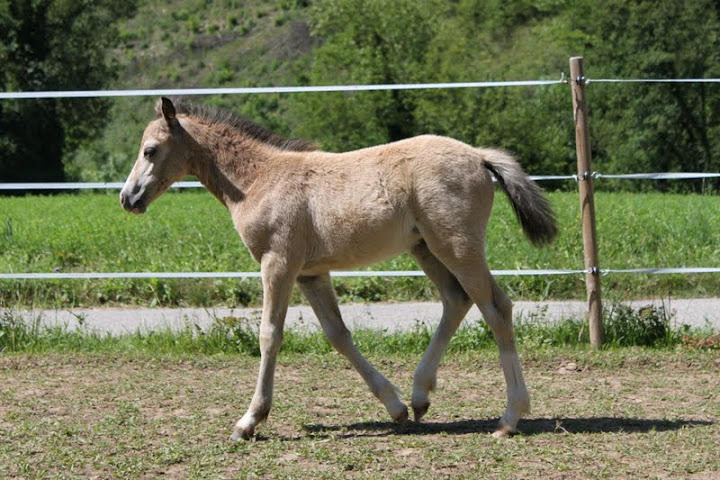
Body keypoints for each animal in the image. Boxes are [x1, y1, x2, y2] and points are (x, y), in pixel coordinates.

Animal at [122, 96, 556, 438]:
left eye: (150, 150)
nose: (127, 198)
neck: (258, 180)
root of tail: (479, 156)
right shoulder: (310, 272)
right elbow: (338, 334)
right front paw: (394, 407)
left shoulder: (278, 263)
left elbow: (269, 335)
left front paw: (249, 421)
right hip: (426, 248)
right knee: (457, 299)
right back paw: (419, 396)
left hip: (458, 246)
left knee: (495, 308)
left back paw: (509, 418)